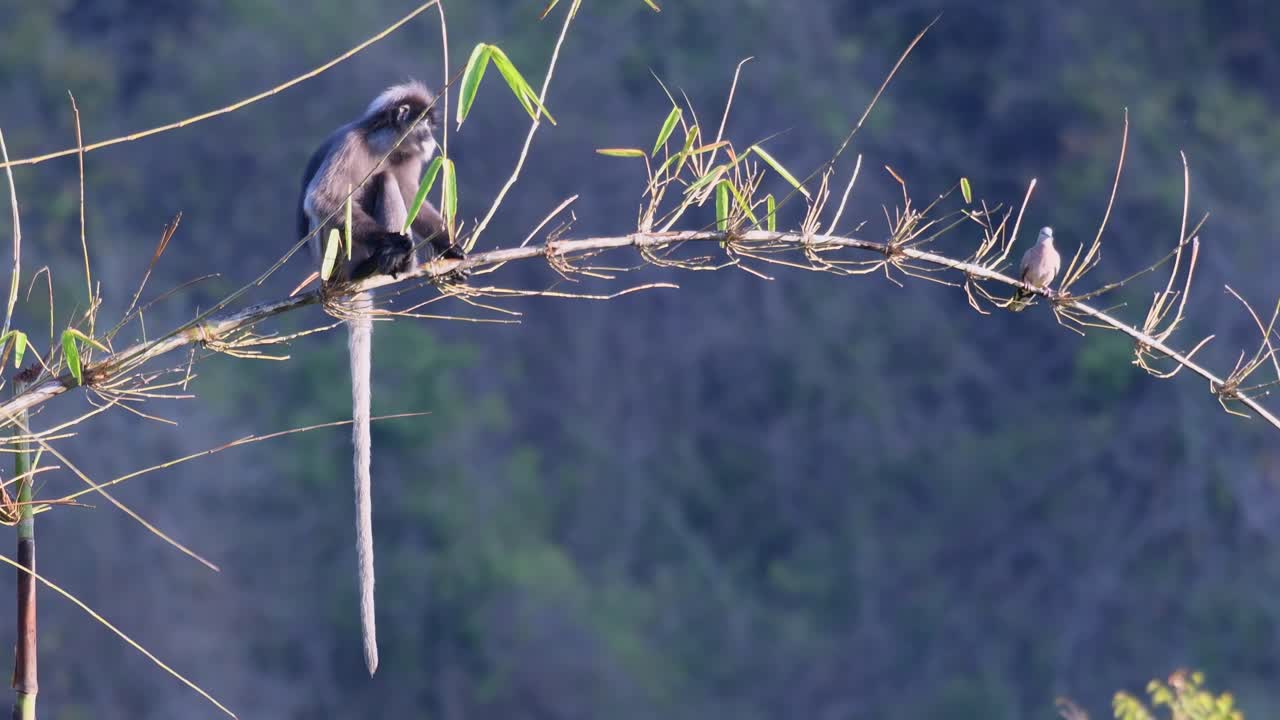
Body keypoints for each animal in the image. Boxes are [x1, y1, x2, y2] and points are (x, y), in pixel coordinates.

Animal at [297, 80, 463, 675]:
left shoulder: (411, 164)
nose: (435, 139)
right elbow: (324, 203)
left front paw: (451, 247)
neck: (384, 145)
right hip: (334, 261)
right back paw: (384, 259)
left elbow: (419, 198)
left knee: (391, 188)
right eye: (425, 123)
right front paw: (396, 244)